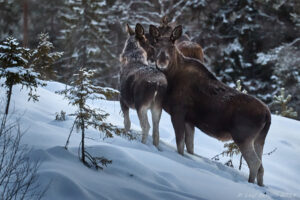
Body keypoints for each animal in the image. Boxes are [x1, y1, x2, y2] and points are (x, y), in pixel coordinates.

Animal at [148, 24, 272, 186]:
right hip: (259, 139)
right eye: (155, 45)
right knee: (262, 166)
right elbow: (190, 147)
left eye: (171, 45)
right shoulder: (189, 120)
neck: (171, 77)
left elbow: (180, 145)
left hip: (243, 137)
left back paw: (249, 183)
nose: (162, 62)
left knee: (255, 163)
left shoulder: (178, 112)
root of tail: (267, 115)